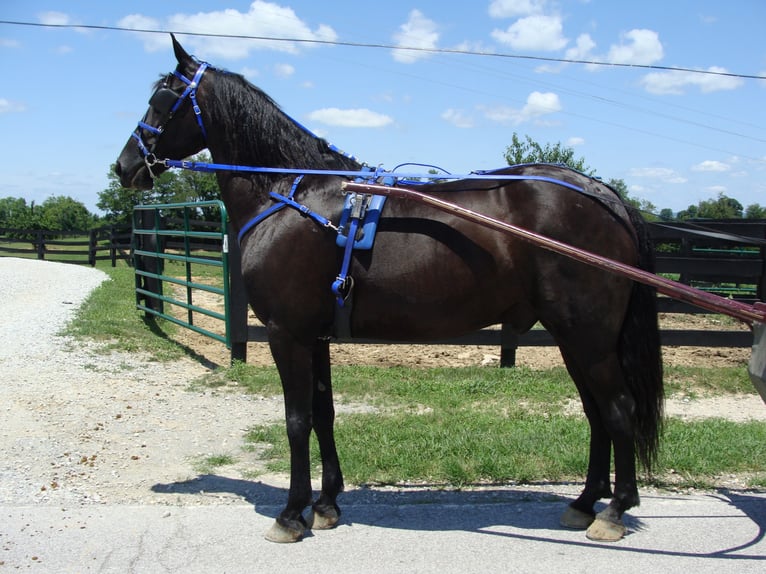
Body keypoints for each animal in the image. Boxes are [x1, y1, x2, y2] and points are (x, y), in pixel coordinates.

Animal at [117, 37, 664, 544]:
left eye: (163, 99)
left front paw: (292, 514)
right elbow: (323, 414)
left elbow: (296, 420)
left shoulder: (285, 333)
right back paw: (585, 502)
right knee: (597, 414)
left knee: (618, 410)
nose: (125, 166)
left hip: (589, 337)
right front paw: (327, 504)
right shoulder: (315, 337)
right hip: (575, 339)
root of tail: (603, 194)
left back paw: (614, 511)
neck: (293, 192)